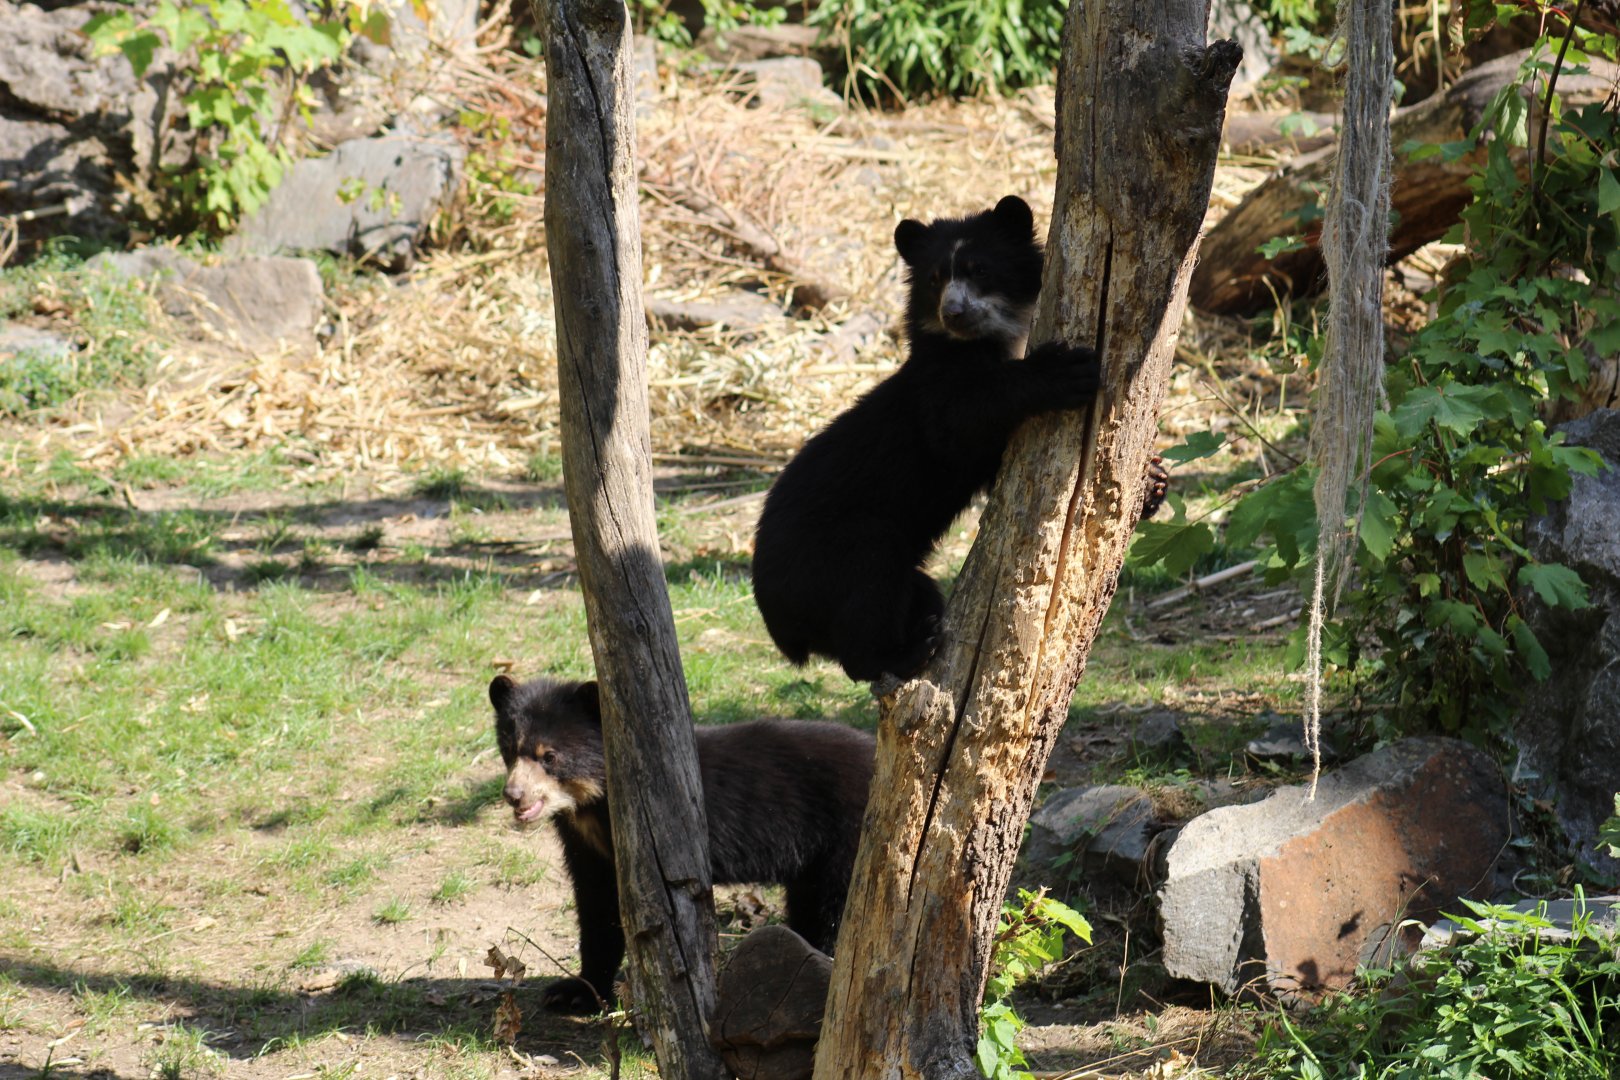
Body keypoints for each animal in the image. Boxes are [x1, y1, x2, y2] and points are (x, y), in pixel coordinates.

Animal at [489, 674, 875, 1014]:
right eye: (509, 749)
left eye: (549, 756)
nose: (514, 795)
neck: (592, 807)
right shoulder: (586, 847)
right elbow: (596, 905)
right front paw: (573, 993)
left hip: (848, 838)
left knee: (838, 911)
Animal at [751, 194, 1108, 687]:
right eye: (935, 279)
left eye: (980, 269)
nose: (953, 313)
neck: (979, 341)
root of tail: (780, 627)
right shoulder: (936, 393)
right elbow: (959, 422)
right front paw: (1065, 371)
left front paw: (1155, 480)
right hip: (836, 555)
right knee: (867, 597)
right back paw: (907, 653)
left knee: (915, 590)